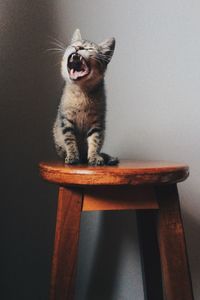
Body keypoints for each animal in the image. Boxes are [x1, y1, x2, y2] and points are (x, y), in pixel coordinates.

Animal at [53, 29, 119, 165]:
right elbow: (69, 140)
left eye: (89, 48)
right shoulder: (65, 120)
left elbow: (95, 141)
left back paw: (107, 158)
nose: (78, 47)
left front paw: (94, 156)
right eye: (74, 45)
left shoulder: (97, 122)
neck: (81, 92)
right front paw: (72, 156)